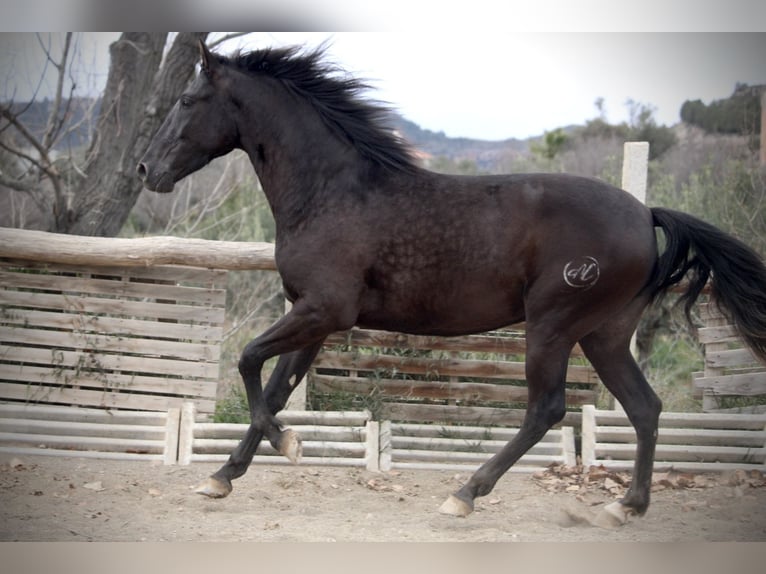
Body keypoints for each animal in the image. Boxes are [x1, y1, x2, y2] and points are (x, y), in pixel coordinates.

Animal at [138, 40, 766, 528]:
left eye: (188, 100)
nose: (147, 170)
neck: (331, 193)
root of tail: (645, 214)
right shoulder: (312, 319)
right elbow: (272, 390)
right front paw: (223, 477)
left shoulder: (323, 311)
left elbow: (248, 360)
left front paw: (287, 444)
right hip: (604, 335)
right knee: (645, 407)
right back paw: (626, 507)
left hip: (554, 326)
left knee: (547, 410)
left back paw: (464, 494)